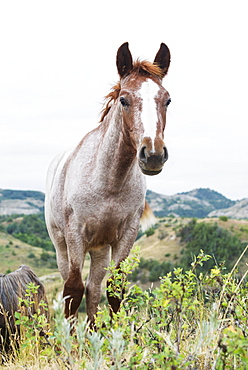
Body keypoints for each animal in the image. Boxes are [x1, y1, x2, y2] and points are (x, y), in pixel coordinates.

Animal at [45, 41, 170, 324]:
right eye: (124, 100)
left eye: (167, 100)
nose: (153, 154)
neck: (108, 183)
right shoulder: (75, 235)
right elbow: (72, 290)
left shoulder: (126, 235)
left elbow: (113, 288)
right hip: (62, 247)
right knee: (75, 287)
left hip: (100, 249)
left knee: (94, 288)